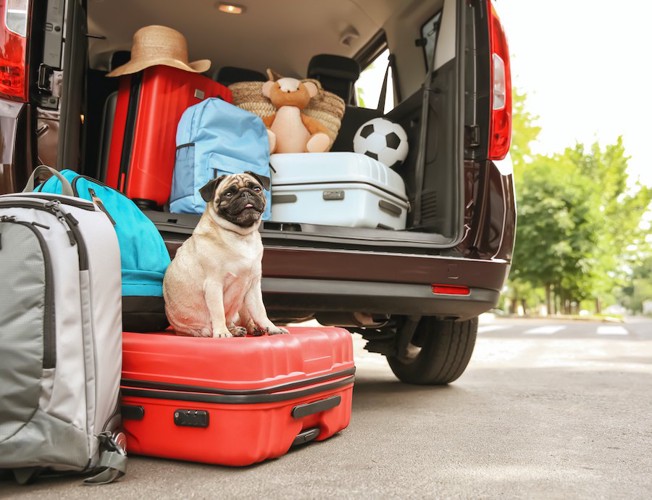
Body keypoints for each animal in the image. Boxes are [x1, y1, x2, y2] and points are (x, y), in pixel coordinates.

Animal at [163, 170, 288, 338]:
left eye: (256, 189)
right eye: (228, 194)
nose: (245, 194)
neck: (242, 236)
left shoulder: (253, 287)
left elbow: (261, 312)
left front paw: (273, 328)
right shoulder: (214, 285)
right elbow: (218, 312)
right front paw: (221, 332)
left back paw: (245, 329)